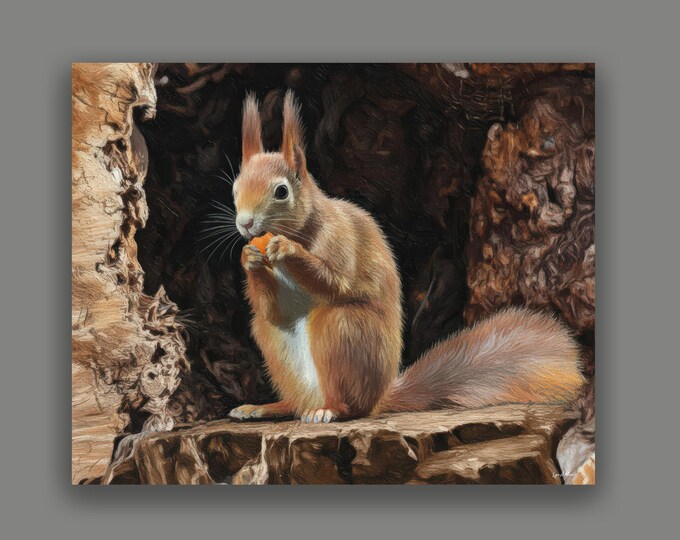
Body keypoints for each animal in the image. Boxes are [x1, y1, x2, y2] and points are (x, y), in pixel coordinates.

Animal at [228, 91, 585, 423]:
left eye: (281, 191)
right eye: (234, 189)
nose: (245, 224)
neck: (305, 226)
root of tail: (380, 398)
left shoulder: (341, 240)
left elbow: (336, 281)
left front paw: (287, 250)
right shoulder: (276, 302)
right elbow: (274, 311)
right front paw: (249, 259)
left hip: (345, 331)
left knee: (348, 396)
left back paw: (329, 410)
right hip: (271, 341)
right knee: (281, 359)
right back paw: (266, 407)